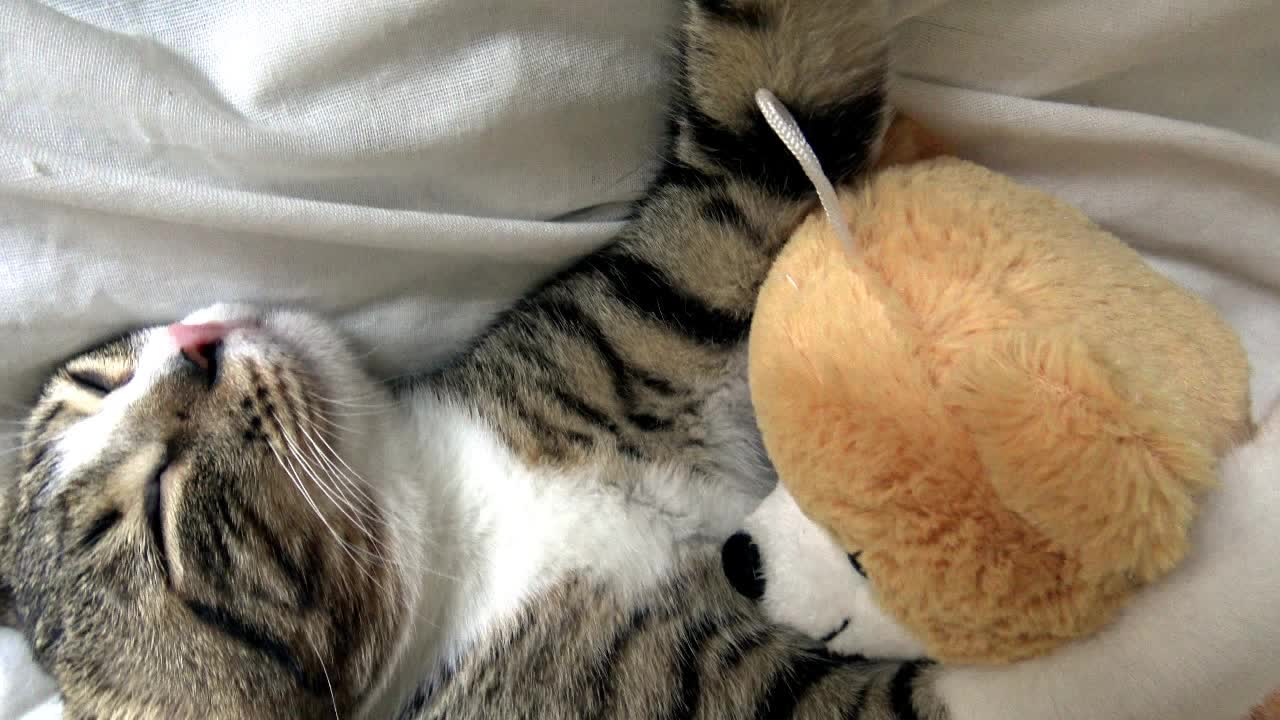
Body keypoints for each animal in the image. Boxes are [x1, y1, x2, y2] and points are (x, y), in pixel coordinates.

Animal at [0, 0, 942, 712]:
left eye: (94, 382)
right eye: (158, 508)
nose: (193, 347)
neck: (459, 523)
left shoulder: (648, 299)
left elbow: (769, 92)